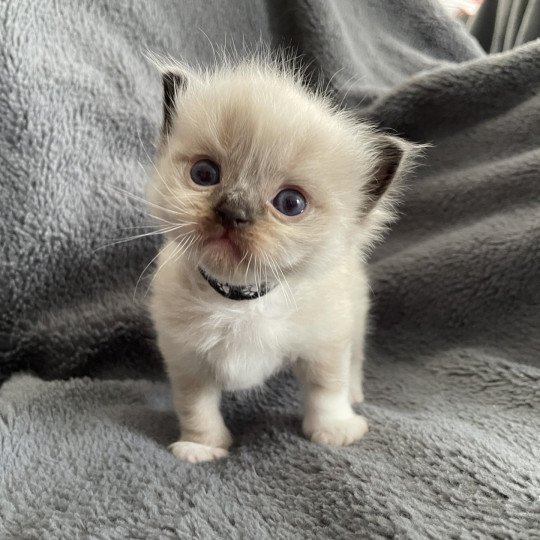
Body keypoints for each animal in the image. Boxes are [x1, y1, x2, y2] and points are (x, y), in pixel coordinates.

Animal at [148, 54, 418, 462]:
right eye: (205, 174)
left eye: (290, 203)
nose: (233, 212)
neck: (240, 302)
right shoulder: (187, 360)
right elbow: (196, 407)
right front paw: (202, 448)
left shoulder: (326, 343)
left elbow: (327, 390)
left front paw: (335, 431)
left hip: (355, 316)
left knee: (355, 360)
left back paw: (356, 397)